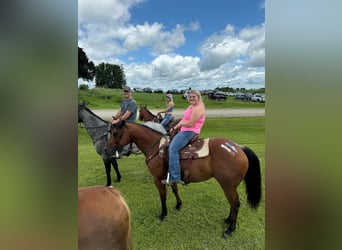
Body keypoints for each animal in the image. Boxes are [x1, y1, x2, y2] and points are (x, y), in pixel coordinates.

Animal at [108, 121, 264, 238]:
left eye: (116, 133)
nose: (107, 150)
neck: (156, 148)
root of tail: (239, 148)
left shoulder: (157, 179)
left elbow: (163, 196)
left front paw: (163, 214)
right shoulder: (170, 175)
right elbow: (175, 189)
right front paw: (178, 205)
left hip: (228, 186)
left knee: (235, 203)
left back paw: (230, 229)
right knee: (233, 204)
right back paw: (227, 220)